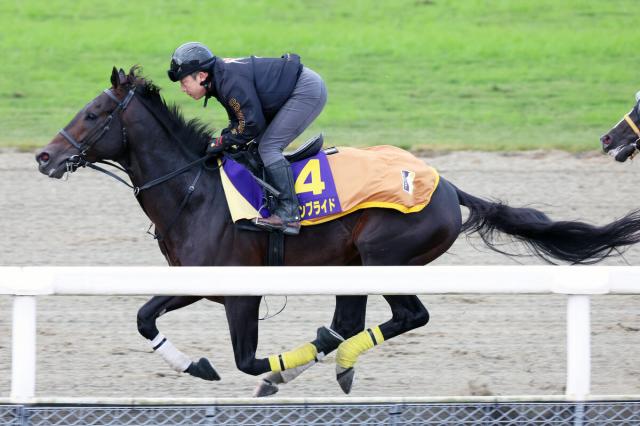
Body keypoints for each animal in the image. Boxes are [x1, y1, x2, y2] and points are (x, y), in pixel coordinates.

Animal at [35, 67, 640, 396]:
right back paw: (332, 352)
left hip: (384, 257)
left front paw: (260, 374)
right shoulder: (195, 281)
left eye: (94, 113)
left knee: (408, 316)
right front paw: (197, 365)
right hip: (351, 265)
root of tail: (446, 186)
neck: (196, 193)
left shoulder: (240, 292)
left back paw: (338, 360)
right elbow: (143, 318)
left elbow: (246, 359)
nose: (44, 157)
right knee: (350, 322)